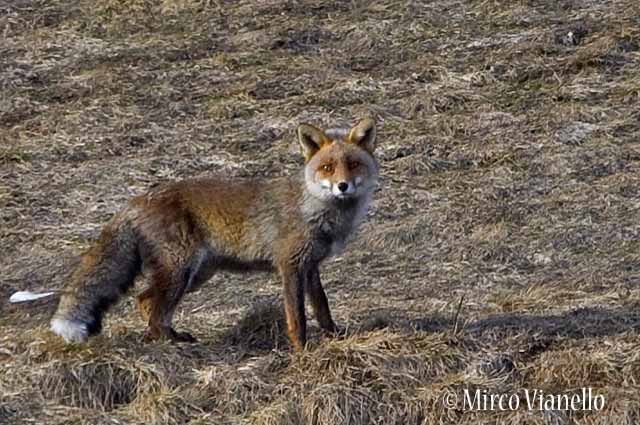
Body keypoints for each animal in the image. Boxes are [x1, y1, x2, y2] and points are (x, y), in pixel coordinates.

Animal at [50, 118, 379, 351]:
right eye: (327, 167)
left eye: (353, 164)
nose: (343, 186)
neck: (314, 210)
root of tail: (136, 200)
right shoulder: (290, 265)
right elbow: (296, 316)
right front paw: (301, 350)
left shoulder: (310, 266)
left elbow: (322, 306)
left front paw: (334, 336)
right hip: (180, 271)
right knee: (154, 312)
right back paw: (169, 343)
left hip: (195, 275)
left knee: (145, 301)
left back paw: (171, 336)